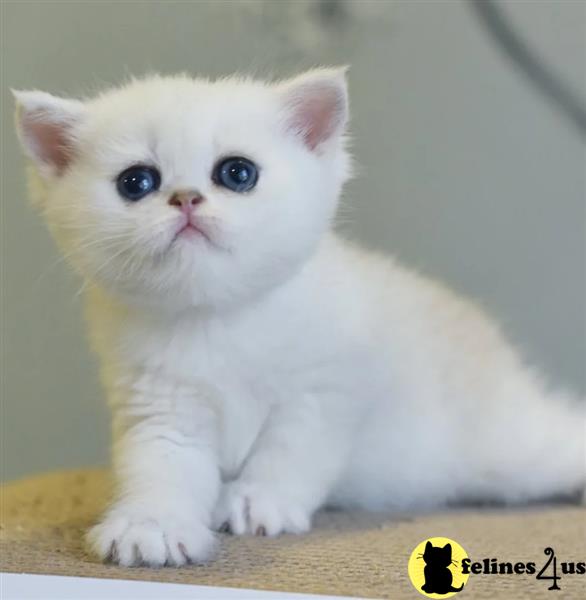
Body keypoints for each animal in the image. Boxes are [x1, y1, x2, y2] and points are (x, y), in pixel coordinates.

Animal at [14, 70, 584, 568]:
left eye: (237, 173)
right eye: (136, 182)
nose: (186, 199)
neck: (217, 319)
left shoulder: (325, 392)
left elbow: (289, 450)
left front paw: (255, 502)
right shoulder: (159, 407)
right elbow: (161, 466)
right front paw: (151, 525)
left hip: (509, 447)